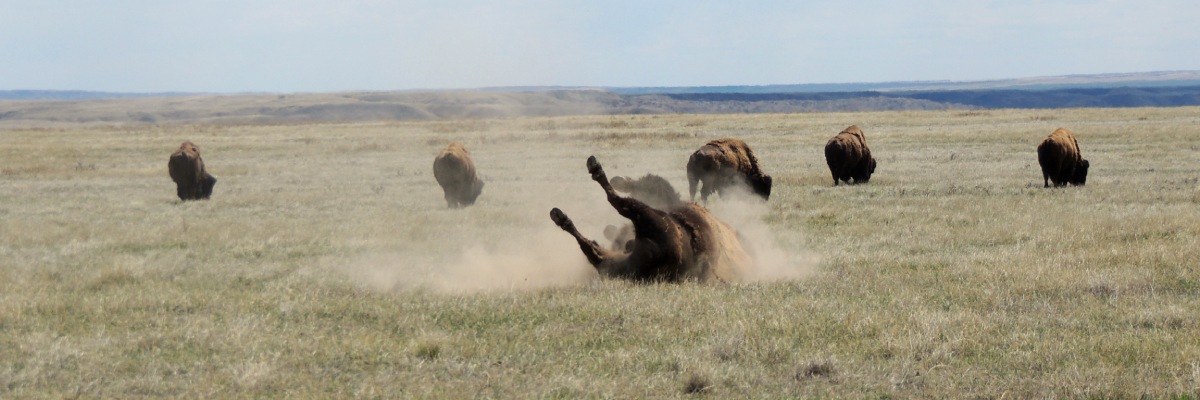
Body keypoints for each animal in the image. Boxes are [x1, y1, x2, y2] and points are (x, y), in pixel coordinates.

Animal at [549, 153, 753, 282]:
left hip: (647, 219)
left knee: (618, 203)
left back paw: (594, 170)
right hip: (615, 263)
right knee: (593, 249)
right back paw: (561, 217)